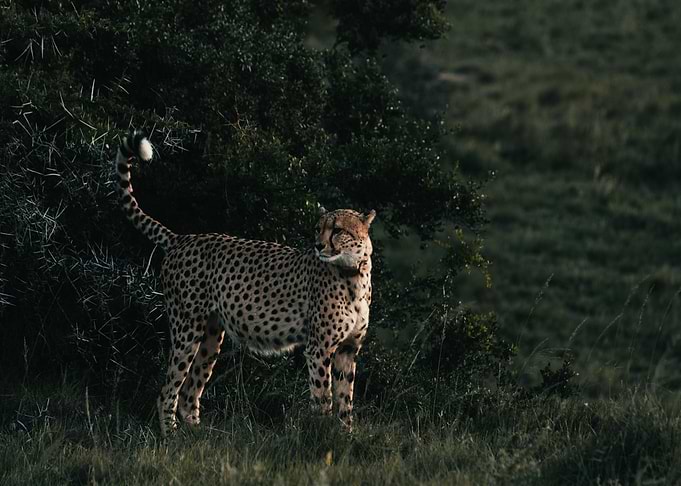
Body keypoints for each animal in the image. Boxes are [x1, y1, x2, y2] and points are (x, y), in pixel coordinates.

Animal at [115, 131, 376, 436]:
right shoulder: (319, 347)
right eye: (318, 229)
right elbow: (323, 398)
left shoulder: (348, 349)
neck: (353, 274)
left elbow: (345, 401)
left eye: (337, 230)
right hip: (186, 328)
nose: (318, 245)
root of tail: (182, 238)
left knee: (190, 390)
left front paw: (345, 436)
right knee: (168, 389)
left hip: (211, 336)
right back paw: (171, 435)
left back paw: (197, 434)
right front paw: (322, 434)